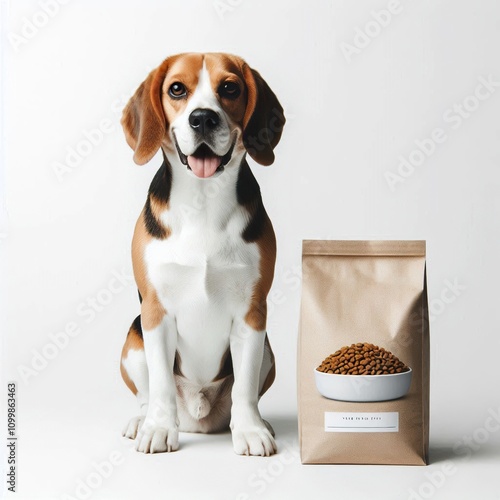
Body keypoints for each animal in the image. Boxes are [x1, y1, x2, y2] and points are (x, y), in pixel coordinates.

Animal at [118, 54, 286, 458]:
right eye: (177, 89)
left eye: (230, 88)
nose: (204, 118)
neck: (203, 200)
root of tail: (198, 411)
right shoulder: (155, 311)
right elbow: (161, 384)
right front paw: (159, 429)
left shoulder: (252, 312)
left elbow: (245, 388)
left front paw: (251, 432)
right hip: (134, 338)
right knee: (147, 394)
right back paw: (142, 421)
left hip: (268, 350)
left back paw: (259, 422)